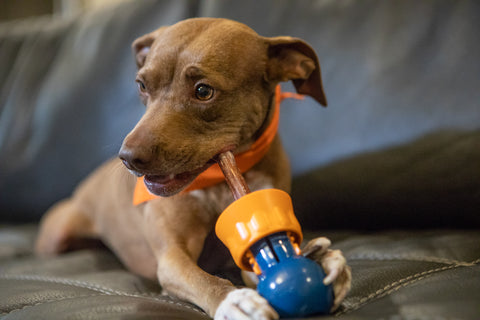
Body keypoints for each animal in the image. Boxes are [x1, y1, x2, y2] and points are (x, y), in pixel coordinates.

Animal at [35, 18, 350, 318]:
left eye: (203, 91)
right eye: (142, 85)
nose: (128, 158)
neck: (219, 182)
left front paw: (320, 259)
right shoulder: (172, 258)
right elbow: (203, 279)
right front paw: (233, 300)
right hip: (57, 236)